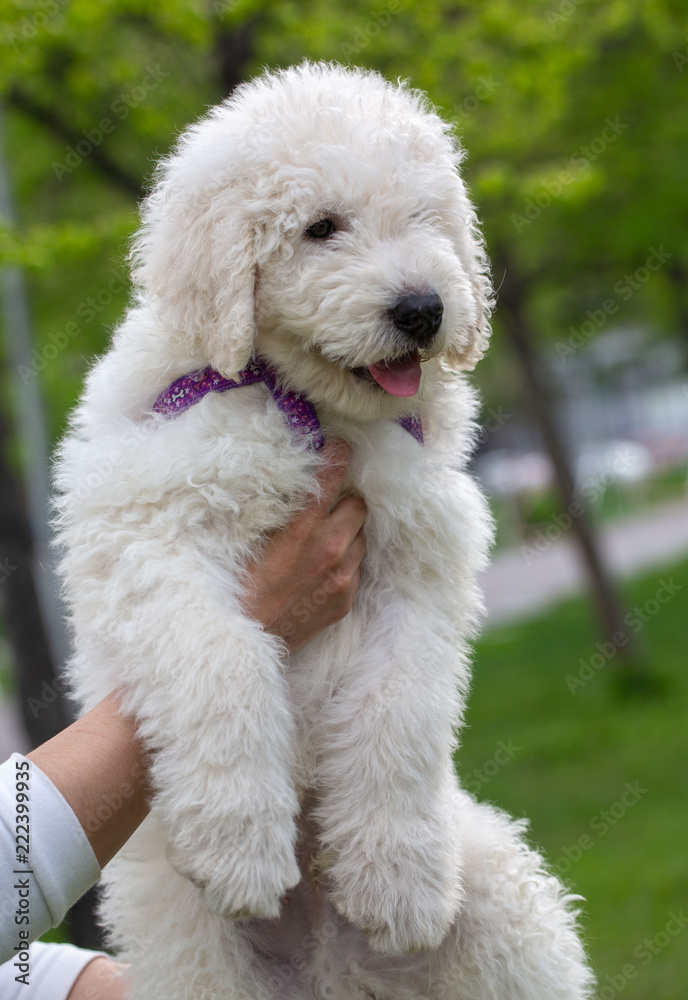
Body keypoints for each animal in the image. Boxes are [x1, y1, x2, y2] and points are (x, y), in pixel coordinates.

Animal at [53, 62, 592, 1000]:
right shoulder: (152, 534)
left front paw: (396, 881)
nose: (423, 308)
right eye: (320, 228)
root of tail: (331, 973)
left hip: (502, 896)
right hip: (188, 953)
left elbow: (400, 708)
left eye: (423, 219)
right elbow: (224, 655)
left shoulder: (420, 562)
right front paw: (239, 842)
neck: (302, 406)